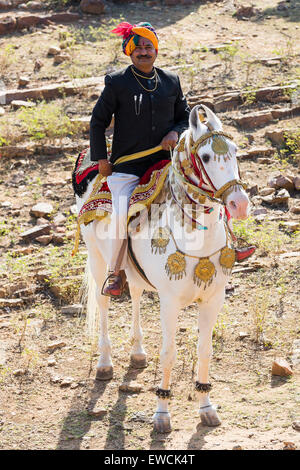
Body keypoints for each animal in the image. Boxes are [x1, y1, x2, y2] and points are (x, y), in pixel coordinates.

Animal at [76, 104, 250, 432]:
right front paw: (162, 413)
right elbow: (169, 353)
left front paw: (207, 408)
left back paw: (137, 353)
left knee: (134, 293)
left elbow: (205, 351)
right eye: (205, 157)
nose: (240, 204)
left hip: (132, 272)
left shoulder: (213, 298)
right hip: (96, 258)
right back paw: (105, 363)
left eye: (235, 151)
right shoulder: (169, 302)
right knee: (104, 304)